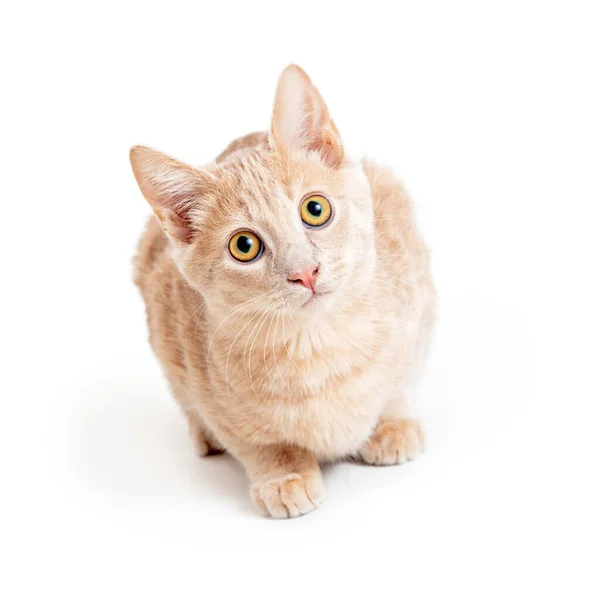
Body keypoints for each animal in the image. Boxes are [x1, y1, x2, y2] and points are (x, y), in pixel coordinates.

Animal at [130, 64, 436, 516]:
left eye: (316, 209)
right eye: (244, 246)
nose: (305, 272)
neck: (318, 348)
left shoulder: (416, 313)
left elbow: (398, 385)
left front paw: (393, 423)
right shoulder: (198, 373)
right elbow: (256, 441)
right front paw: (283, 474)